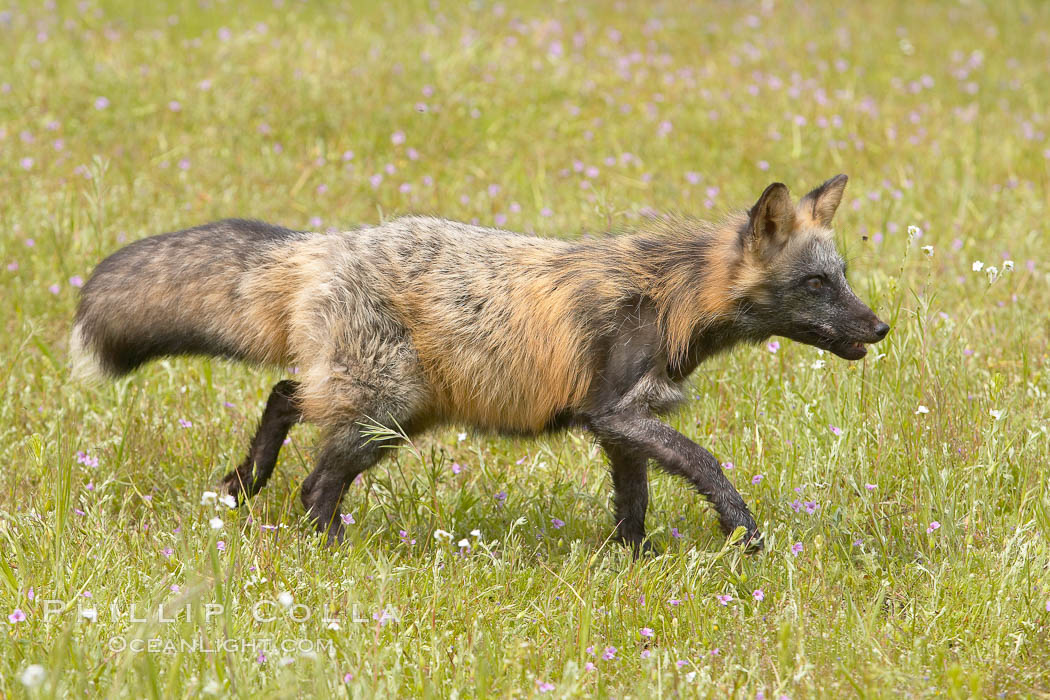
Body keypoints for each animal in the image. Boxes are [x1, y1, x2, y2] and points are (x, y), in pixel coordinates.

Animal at [69, 174, 886, 554]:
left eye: (842, 277)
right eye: (817, 285)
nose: (880, 327)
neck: (672, 296)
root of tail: (327, 242)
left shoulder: (621, 425)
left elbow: (635, 503)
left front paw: (629, 566)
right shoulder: (615, 410)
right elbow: (707, 463)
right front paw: (743, 533)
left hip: (384, 402)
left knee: (283, 395)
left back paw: (244, 482)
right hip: (387, 408)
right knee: (313, 481)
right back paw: (331, 552)